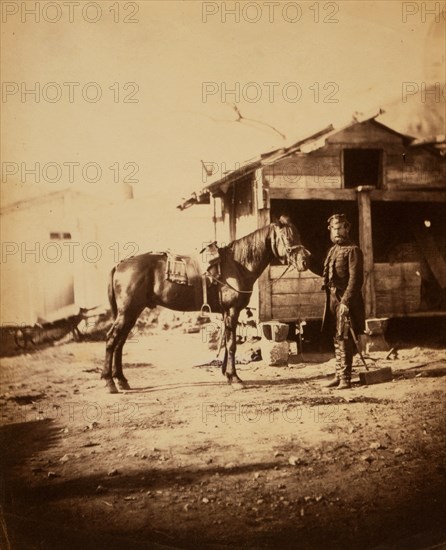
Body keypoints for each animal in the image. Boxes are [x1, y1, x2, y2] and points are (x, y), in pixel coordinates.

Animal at [101, 218, 310, 394]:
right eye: (287, 237)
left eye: (299, 235)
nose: (304, 261)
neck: (237, 265)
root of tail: (120, 265)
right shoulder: (232, 311)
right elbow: (231, 344)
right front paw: (235, 379)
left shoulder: (226, 313)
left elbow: (226, 342)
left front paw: (227, 375)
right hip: (128, 312)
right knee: (112, 340)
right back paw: (109, 382)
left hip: (131, 313)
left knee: (120, 342)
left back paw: (121, 380)